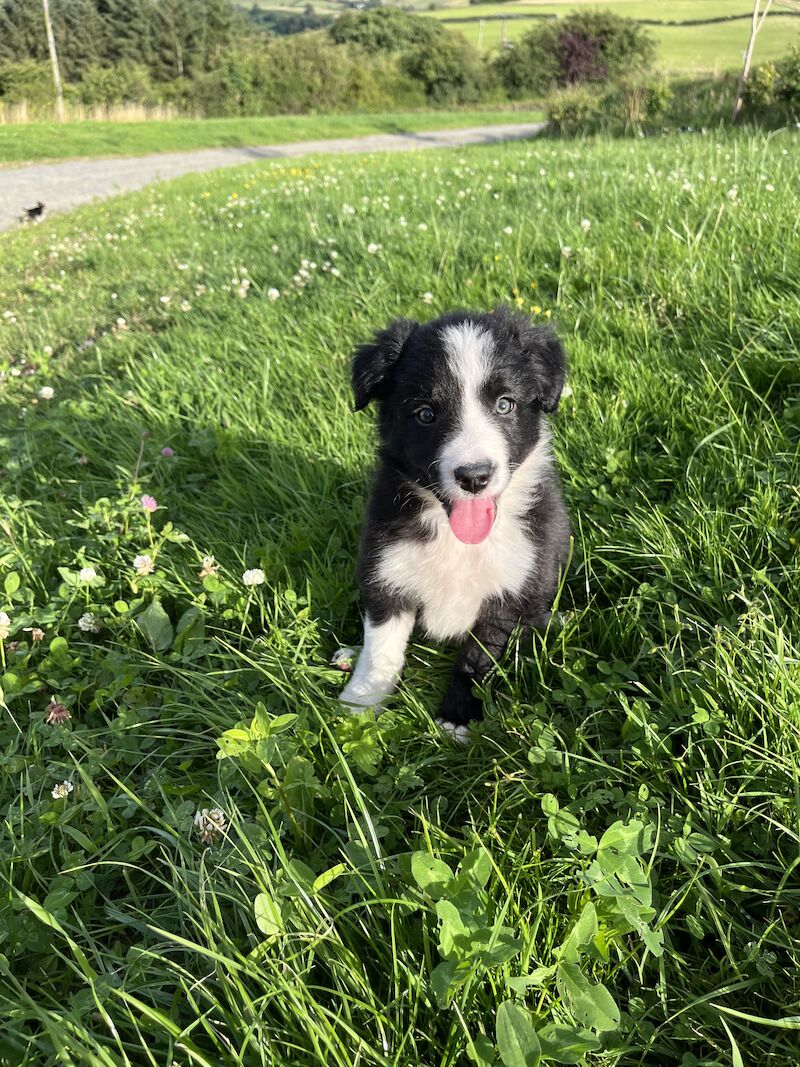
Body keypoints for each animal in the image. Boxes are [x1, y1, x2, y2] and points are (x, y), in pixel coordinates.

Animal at [341, 305, 571, 738]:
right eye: (425, 414)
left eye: (504, 405)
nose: (474, 477)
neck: (456, 537)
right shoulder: (387, 572)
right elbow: (381, 649)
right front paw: (361, 702)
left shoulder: (509, 589)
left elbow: (478, 658)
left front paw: (458, 715)